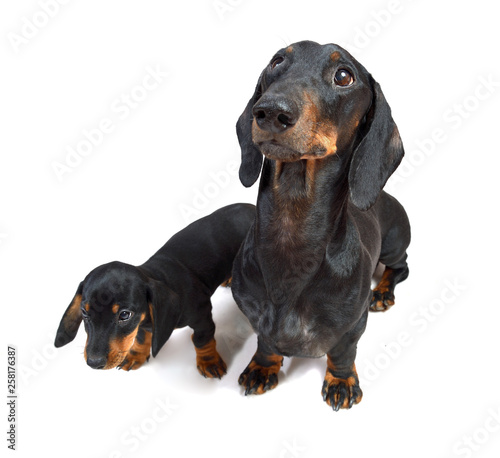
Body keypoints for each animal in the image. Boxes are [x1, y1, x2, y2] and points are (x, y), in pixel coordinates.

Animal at [55, 204, 254, 380]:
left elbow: (202, 339)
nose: (93, 363)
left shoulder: (202, 316)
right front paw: (136, 355)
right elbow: (141, 337)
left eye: (124, 315)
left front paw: (209, 362)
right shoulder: (142, 324)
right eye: (84, 312)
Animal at [230, 41, 410, 410]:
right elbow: (265, 340)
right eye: (277, 61)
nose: (270, 111)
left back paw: (383, 292)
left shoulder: (353, 325)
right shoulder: (258, 318)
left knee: (401, 268)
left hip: (395, 243)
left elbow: (342, 352)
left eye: (344, 75)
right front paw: (262, 367)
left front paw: (341, 382)